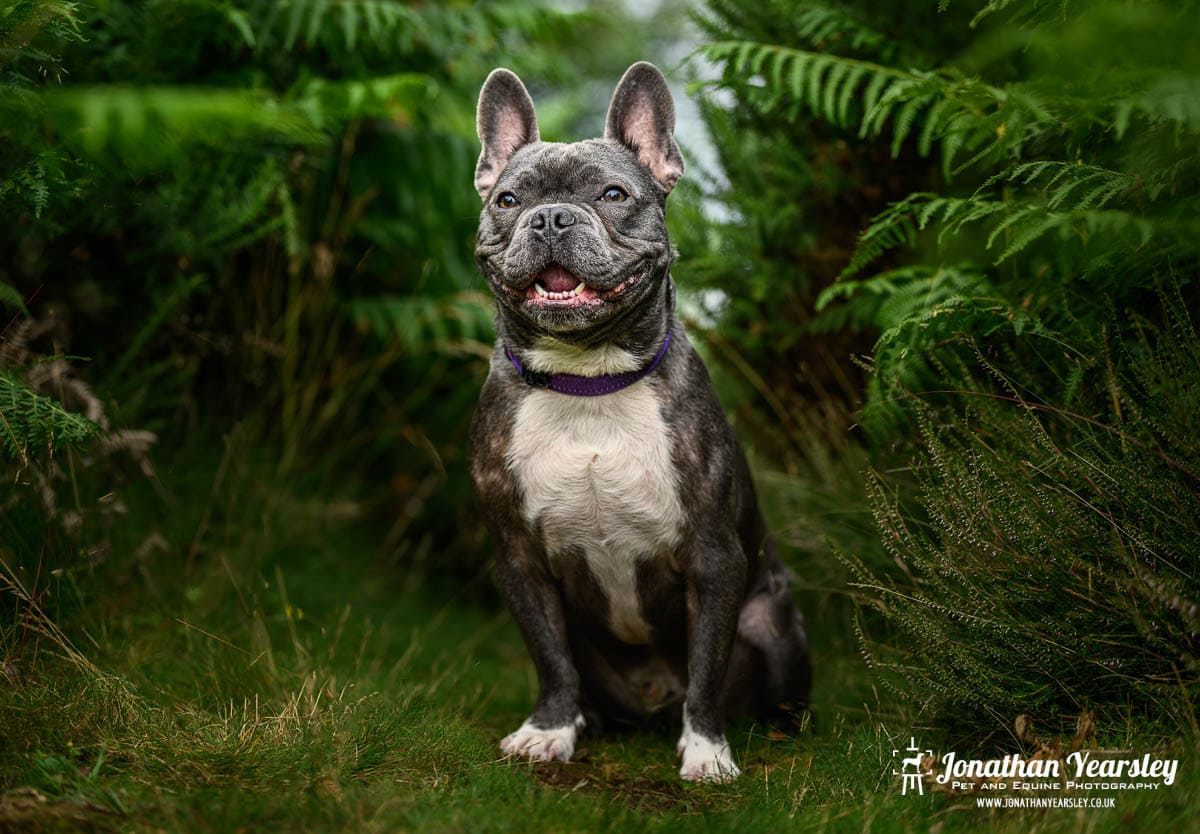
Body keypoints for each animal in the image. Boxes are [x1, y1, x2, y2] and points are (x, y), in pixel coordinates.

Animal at [463, 60, 811, 782]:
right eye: (507, 201)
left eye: (614, 194)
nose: (550, 217)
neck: (589, 381)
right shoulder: (520, 561)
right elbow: (551, 658)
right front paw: (549, 730)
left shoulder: (713, 559)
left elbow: (706, 669)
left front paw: (706, 751)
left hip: (771, 621)